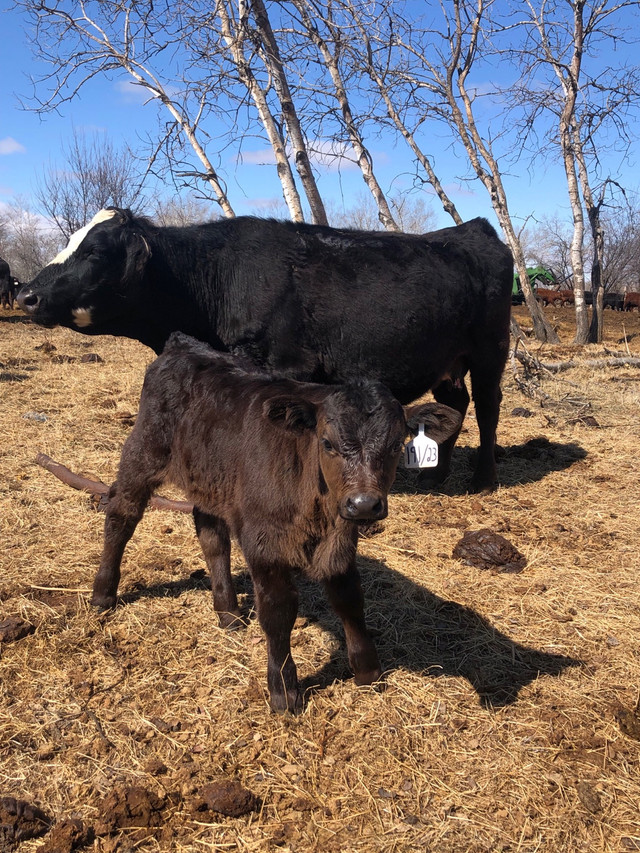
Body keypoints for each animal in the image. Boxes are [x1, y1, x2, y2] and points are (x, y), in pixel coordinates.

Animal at [17, 207, 513, 492]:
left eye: (95, 252)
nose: (27, 295)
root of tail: (474, 229)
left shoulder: (288, 365)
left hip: (491, 350)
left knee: (488, 407)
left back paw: (484, 478)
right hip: (449, 361)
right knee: (455, 403)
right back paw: (439, 473)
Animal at [91, 333, 462, 712]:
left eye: (395, 445)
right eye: (327, 443)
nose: (363, 504)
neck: (317, 513)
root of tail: (184, 345)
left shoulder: (340, 541)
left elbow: (349, 598)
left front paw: (367, 670)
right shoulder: (263, 542)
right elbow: (278, 610)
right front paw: (284, 690)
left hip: (212, 478)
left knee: (212, 536)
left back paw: (228, 611)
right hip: (143, 451)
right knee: (121, 515)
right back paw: (103, 594)